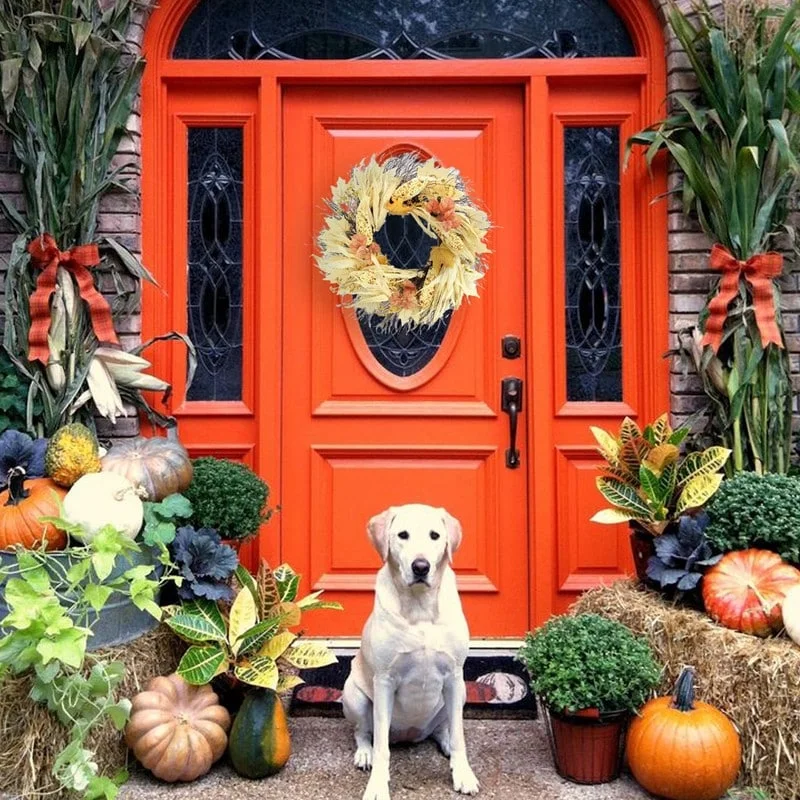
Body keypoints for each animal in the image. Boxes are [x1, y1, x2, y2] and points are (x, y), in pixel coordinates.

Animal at [340, 506, 478, 800]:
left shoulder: (454, 676)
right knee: (363, 732)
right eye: (402, 535)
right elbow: (381, 747)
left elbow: (459, 736)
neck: (420, 606)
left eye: (435, 535)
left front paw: (463, 774)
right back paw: (365, 753)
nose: (421, 566)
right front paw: (377, 786)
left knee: (444, 728)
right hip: (354, 695)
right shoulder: (384, 680)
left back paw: (445, 743)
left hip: (460, 693)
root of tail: (407, 734)